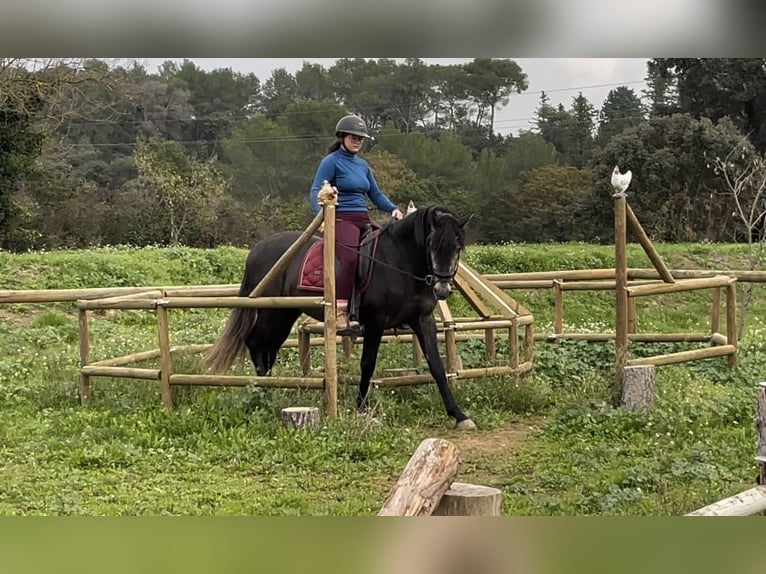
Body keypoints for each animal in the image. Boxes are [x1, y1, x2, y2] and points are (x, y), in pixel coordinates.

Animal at [204, 205, 480, 430]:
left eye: (457, 247)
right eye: (432, 245)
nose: (442, 290)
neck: (400, 261)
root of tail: (257, 250)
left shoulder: (423, 320)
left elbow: (436, 366)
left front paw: (458, 414)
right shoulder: (376, 322)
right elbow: (368, 364)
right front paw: (362, 406)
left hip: (285, 314)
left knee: (267, 348)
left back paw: (269, 388)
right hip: (274, 312)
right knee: (255, 343)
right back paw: (263, 392)